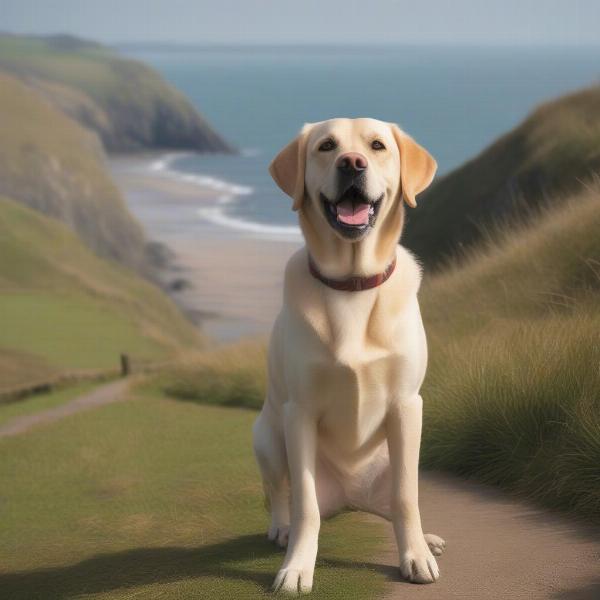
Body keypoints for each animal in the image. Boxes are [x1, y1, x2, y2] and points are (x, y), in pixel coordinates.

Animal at [252, 119, 446, 592]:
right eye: (326, 146)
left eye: (376, 146)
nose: (352, 163)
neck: (352, 283)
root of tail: (351, 498)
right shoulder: (298, 412)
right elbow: (305, 505)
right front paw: (297, 567)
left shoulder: (407, 406)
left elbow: (406, 497)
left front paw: (415, 556)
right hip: (265, 435)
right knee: (281, 493)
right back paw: (281, 528)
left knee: (393, 500)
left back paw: (426, 539)